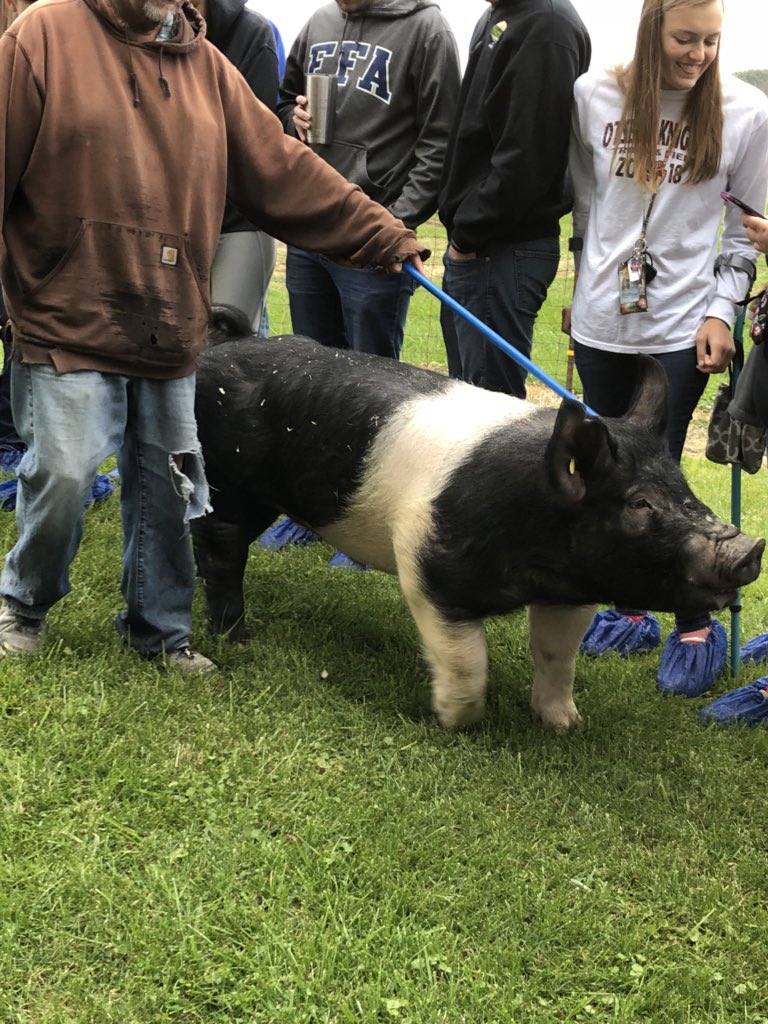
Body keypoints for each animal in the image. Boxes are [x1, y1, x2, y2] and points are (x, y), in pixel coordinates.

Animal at [192, 306, 764, 732]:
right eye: (639, 504)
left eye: (684, 488)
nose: (748, 548)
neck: (536, 556)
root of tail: (217, 348)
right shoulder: (427, 570)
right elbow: (468, 660)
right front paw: (453, 722)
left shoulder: (571, 592)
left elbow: (557, 657)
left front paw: (565, 725)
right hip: (225, 479)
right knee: (220, 550)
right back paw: (234, 639)